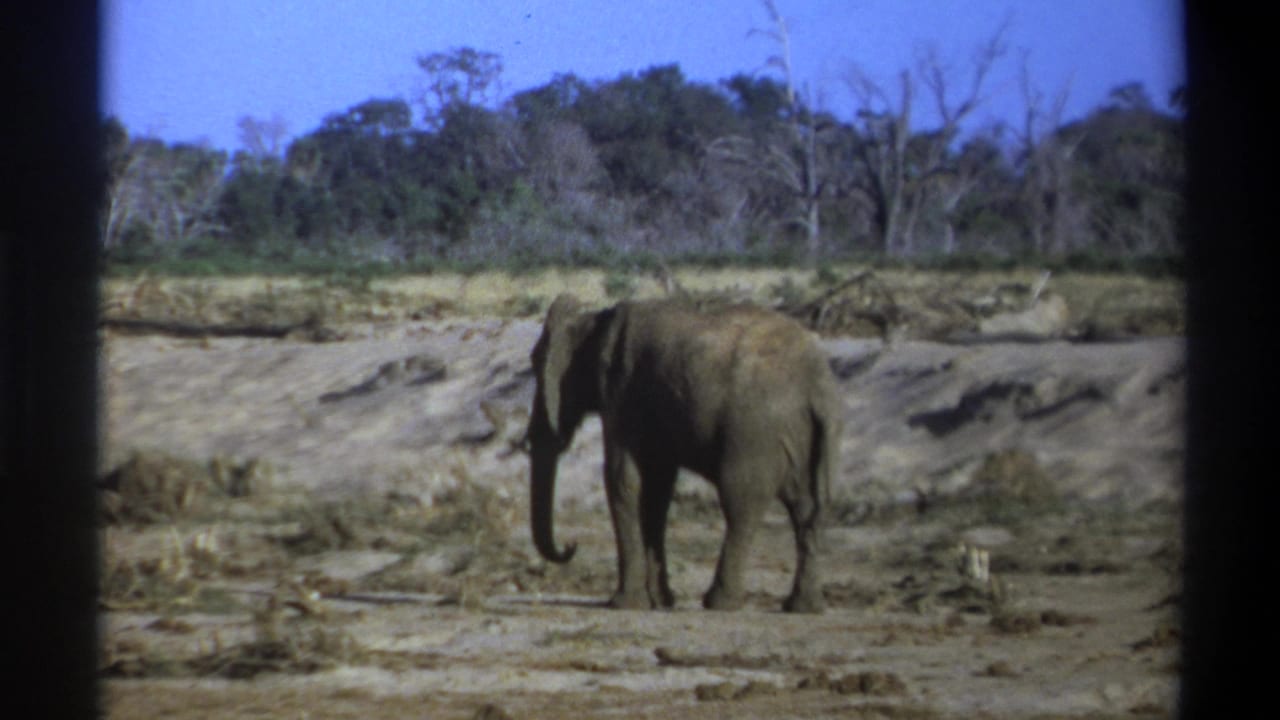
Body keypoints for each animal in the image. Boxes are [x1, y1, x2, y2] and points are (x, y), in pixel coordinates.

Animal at [526, 293, 841, 613]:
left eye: (536, 364)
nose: (571, 545)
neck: (593, 321)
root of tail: (818, 387)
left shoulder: (620, 393)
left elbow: (623, 481)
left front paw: (625, 603)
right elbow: (656, 489)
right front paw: (660, 602)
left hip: (755, 431)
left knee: (741, 503)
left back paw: (720, 602)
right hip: (801, 436)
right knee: (805, 508)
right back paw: (803, 606)